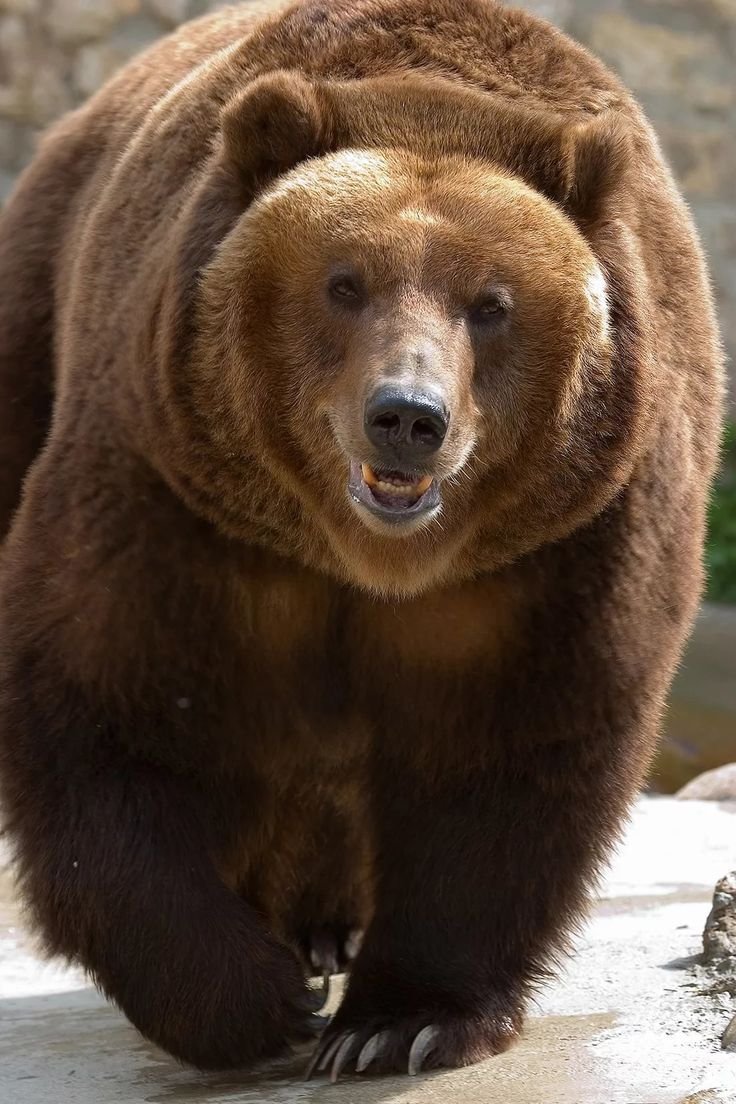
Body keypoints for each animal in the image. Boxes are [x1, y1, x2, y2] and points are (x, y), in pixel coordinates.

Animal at [0, 0, 724, 1081]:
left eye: (491, 303)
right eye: (345, 282)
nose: (407, 417)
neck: (361, 557)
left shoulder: (558, 548)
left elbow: (506, 752)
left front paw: (399, 1021)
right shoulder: (177, 498)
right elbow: (112, 709)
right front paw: (254, 1000)